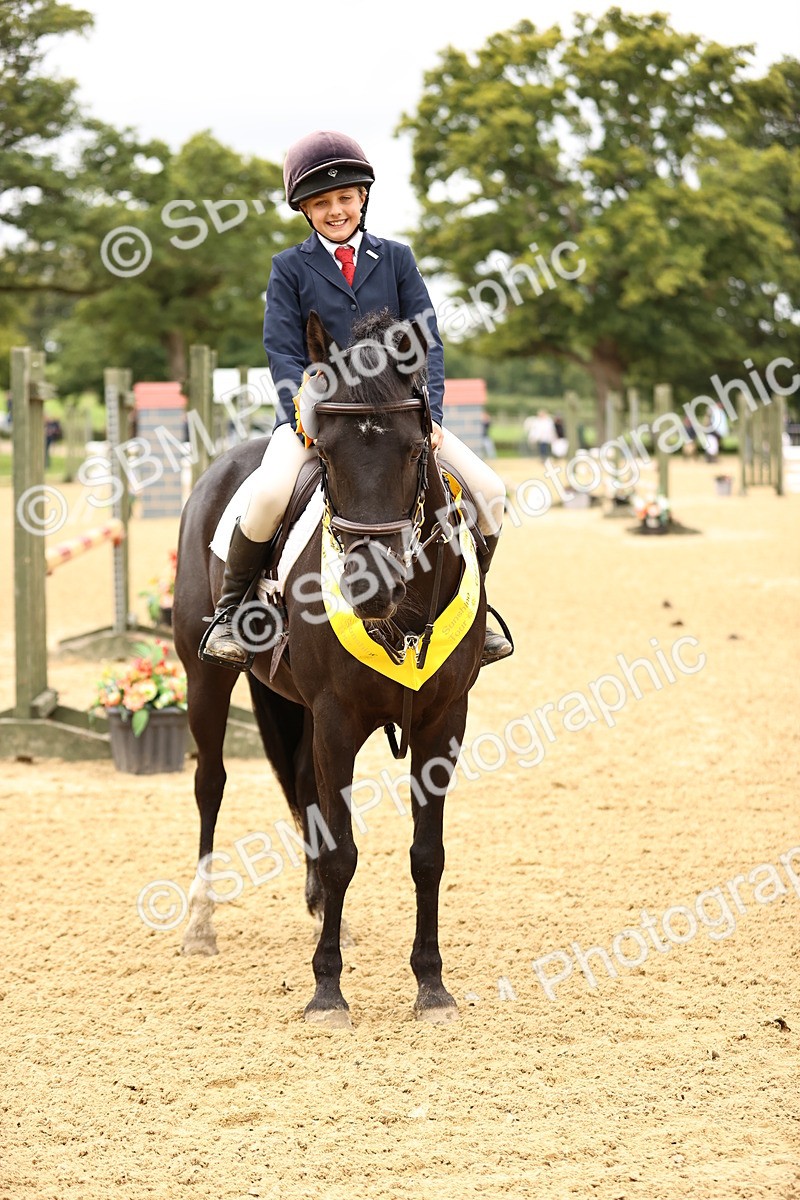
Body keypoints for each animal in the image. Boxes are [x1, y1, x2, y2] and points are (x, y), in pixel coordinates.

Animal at [172, 308, 486, 1028]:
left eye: (413, 448)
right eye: (330, 453)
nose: (372, 585)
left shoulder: (441, 722)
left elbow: (427, 855)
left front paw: (431, 985)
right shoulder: (339, 721)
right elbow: (344, 852)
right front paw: (327, 991)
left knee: (300, 786)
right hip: (205, 680)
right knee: (211, 783)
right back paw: (201, 924)